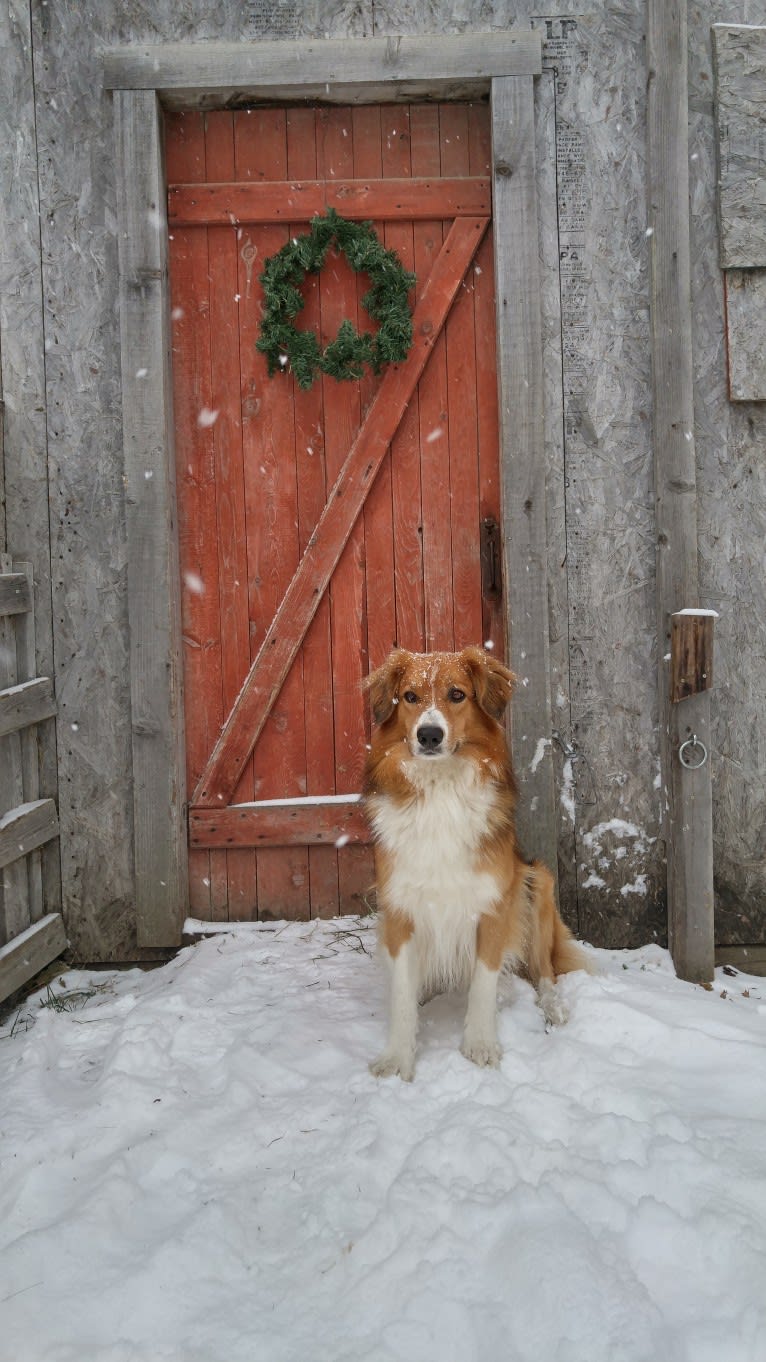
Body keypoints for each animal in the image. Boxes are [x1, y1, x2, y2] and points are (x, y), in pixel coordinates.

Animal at [359, 642, 586, 1078]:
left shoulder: (494, 905)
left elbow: (483, 981)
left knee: (545, 972)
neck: (439, 789)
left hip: (537, 882)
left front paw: (479, 1045)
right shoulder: (400, 907)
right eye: (409, 696)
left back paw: (553, 1009)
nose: (429, 734)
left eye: (457, 695)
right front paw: (398, 1056)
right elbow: (401, 991)